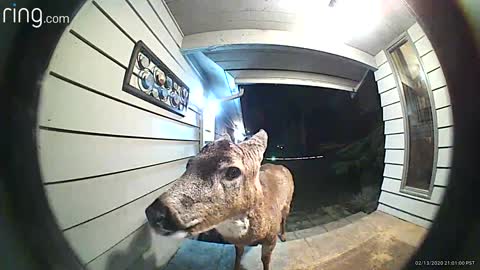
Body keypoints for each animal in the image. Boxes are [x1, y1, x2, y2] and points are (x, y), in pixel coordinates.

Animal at [145, 130, 296, 268]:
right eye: (188, 164)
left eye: (233, 171)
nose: (154, 212)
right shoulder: (238, 243)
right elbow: (238, 256)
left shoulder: (270, 239)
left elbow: (265, 261)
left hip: (288, 202)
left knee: (284, 218)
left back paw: (283, 236)